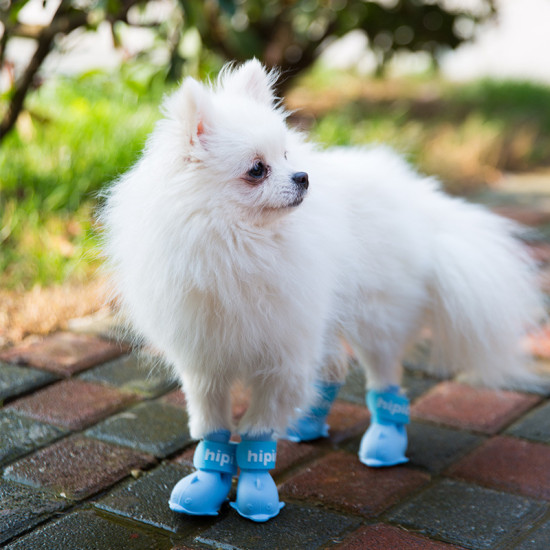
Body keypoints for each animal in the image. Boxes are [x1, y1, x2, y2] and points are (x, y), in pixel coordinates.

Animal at [101, 59, 544, 520]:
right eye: (257, 169)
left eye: (286, 156)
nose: (303, 177)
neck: (238, 245)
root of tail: (419, 201)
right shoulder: (206, 359)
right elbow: (213, 430)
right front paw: (205, 487)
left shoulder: (282, 355)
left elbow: (258, 432)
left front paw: (256, 495)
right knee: (332, 367)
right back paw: (309, 422)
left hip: (376, 320)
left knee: (384, 378)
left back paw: (384, 443)